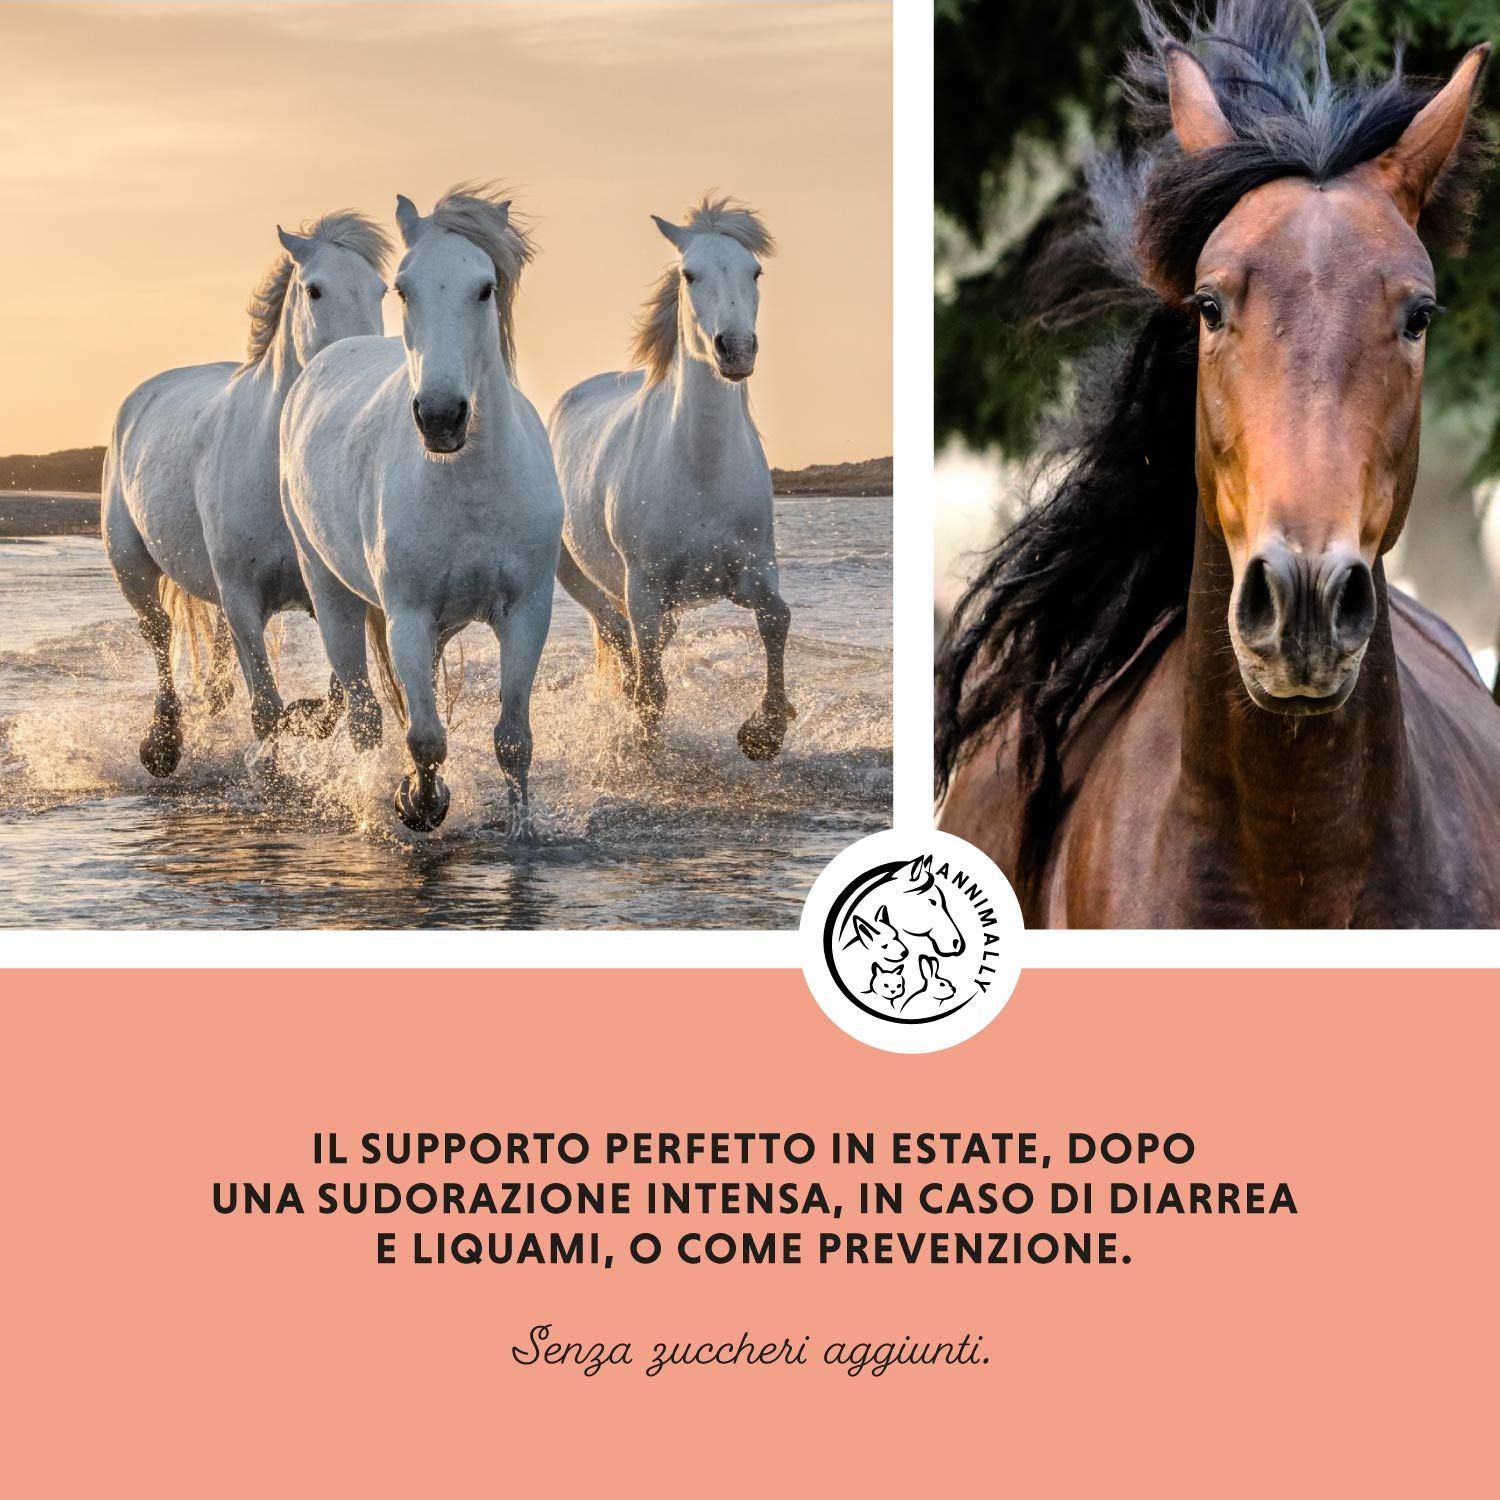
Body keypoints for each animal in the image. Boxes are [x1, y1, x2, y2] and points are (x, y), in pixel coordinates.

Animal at [102, 212, 391, 776]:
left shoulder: (327, 592)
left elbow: (335, 696)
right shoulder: (242, 598)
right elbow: (266, 709)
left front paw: (305, 719)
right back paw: (162, 746)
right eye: (314, 289)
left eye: (380, 290)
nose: (359, 366)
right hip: (132, 568)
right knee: (159, 635)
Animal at [279, 186, 563, 835]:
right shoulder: (406, 615)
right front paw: (419, 803)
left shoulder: (526, 612)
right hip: (330, 593)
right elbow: (426, 737)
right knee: (364, 712)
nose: (440, 417)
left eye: (484, 287)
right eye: (404, 289)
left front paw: (523, 831)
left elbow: (514, 739)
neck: (470, 485)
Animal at [547, 196, 795, 759]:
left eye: (755, 270)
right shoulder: (644, 586)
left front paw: (764, 731)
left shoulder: (753, 569)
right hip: (582, 577)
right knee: (619, 637)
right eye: (689, 274)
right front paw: (646, 749)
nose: (736, 349)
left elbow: (777, 618)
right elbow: (652, 688)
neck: (702, 471)